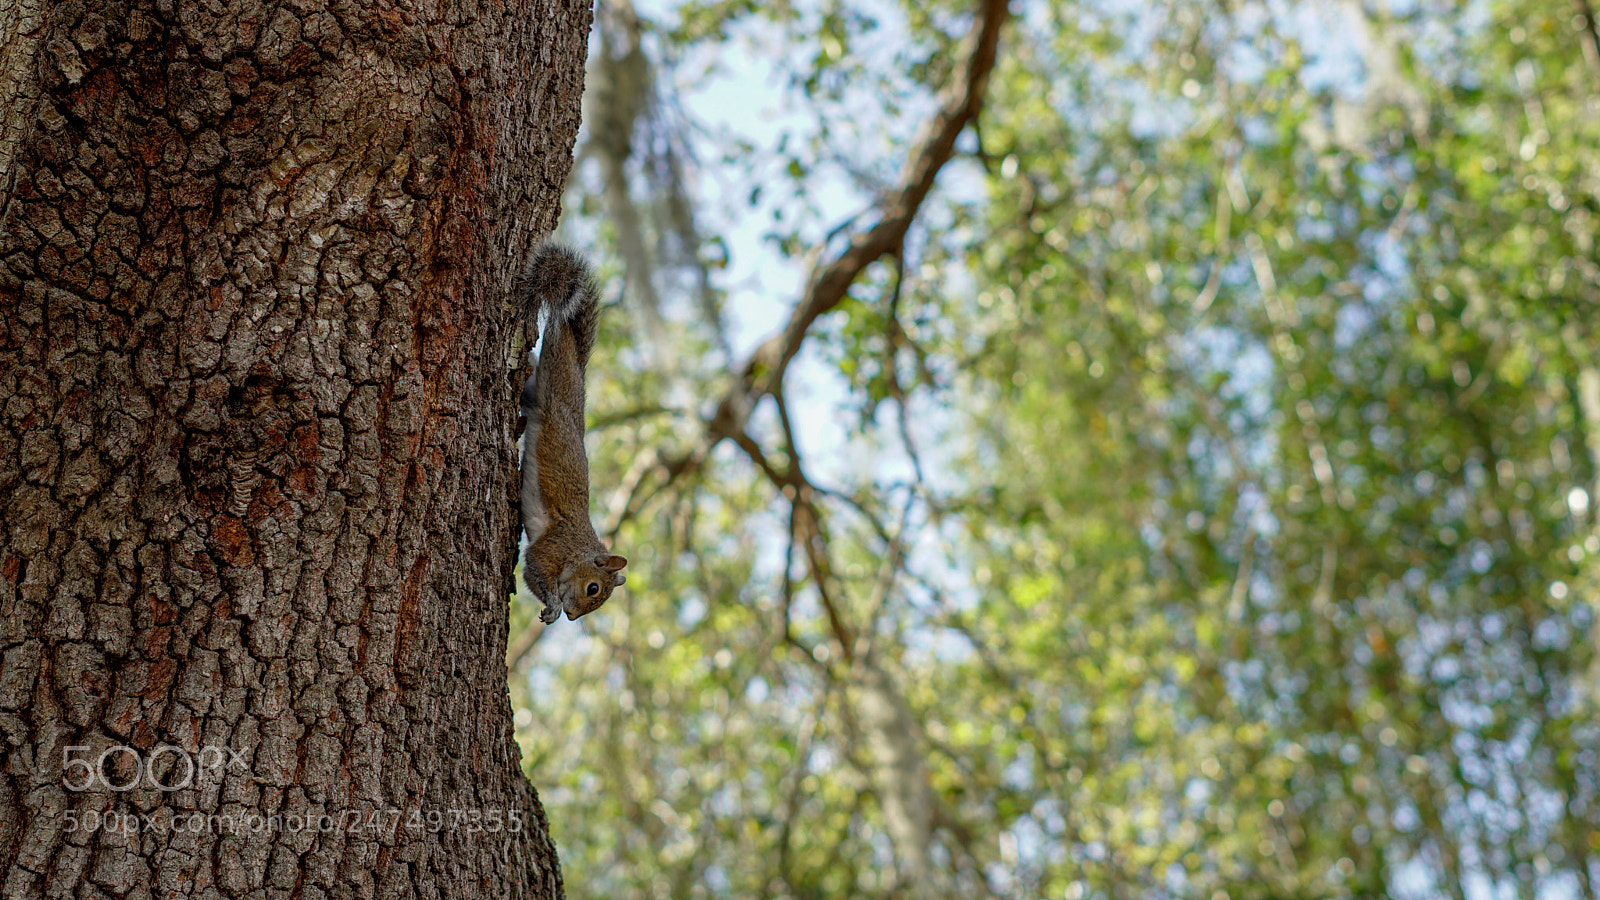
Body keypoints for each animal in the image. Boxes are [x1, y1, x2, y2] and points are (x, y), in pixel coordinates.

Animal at [518, 243, 628, 623]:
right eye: (593, 588)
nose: (571, 616)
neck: (579, 548)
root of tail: (580, 370)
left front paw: (550, 611)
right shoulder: (552, 547)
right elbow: (534, 569)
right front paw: (552, 605)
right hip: (556, 370)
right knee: (553, 333)